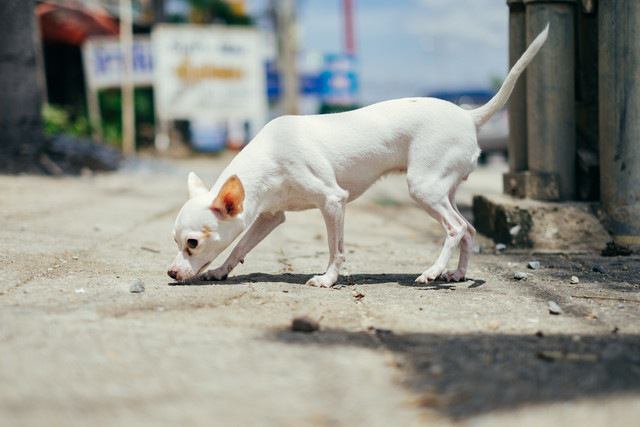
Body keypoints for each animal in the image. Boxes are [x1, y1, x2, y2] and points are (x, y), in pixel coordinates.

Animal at [168, 25, 548, 286]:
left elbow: (336, 249)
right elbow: (240, 247)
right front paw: (221, 270)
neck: (270, 155)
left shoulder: (333, 201)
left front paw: (327, 279)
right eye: (175, 241)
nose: (171, 272)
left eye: (192, 243)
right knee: (468, 228)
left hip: (423, 188)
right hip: (443, 189)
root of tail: (469, 115)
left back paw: (432, 271)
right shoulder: (270, 217)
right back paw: (456, 273)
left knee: (455, 228)